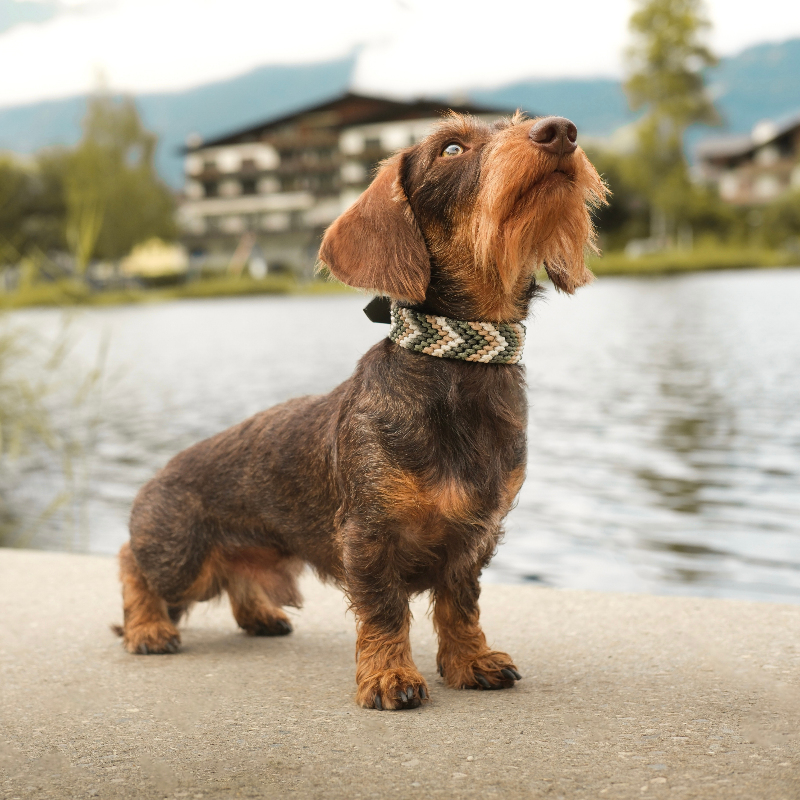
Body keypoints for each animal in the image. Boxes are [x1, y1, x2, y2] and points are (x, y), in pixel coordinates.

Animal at [115, 109, 608, 708]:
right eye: (451, 148)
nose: (560, 131)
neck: (456, 364)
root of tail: (158, 475)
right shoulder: (369, 537)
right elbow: (384, 611)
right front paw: (389, 676)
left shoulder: (475, 537)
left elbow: (461, 606)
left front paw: (471, 661)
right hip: (181, 559)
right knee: (131, 563)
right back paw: (147, 628)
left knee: (235, 580)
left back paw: (259, 613)